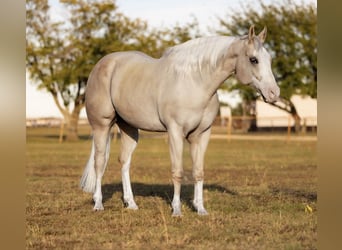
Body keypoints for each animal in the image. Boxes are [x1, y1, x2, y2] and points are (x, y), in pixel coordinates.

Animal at [81, 25, 280, 217]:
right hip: (101, 125)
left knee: (124, 162)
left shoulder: (202, 135)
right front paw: (176, 210)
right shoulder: (175, 132)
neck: (196, 82)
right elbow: (178, 172)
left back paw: (131, 204)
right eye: (253, 59)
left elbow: (198, 172)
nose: (274, 93)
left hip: (129, 129)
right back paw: (98, 203)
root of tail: (102, 65)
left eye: (270, 59)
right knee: (99, 161)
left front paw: (200, 209)